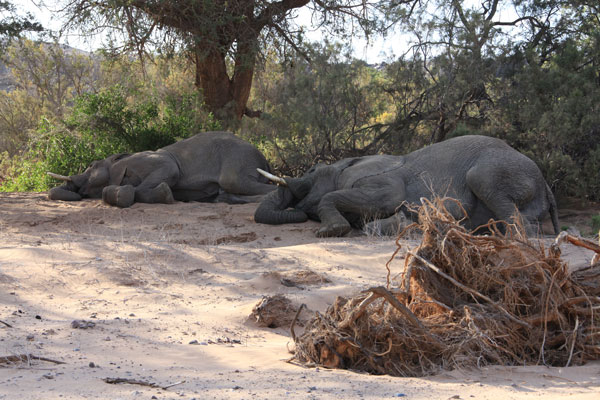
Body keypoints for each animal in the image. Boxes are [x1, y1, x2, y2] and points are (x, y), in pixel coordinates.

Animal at [47, 131, 276, 208]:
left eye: (92, 165)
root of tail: (264, 159)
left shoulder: (156, 160)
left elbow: (169, 169)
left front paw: (164, 194)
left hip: (238, 161)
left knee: (239, 183)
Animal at [253, 134, 556, 238]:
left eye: (312, 171)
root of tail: (546, 185)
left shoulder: (383, 180)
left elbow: (386, 199)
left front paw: (330, 232)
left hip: (495, 170)